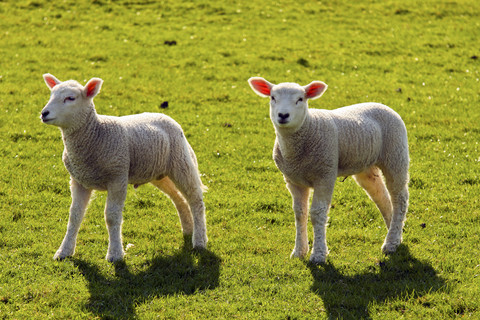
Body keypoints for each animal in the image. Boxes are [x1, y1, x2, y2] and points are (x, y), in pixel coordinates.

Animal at [40, 74, 206, 262]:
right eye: (51, 95)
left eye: (70, 98)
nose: (44, 113)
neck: (96, 133)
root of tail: (168, 118)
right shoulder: (79, 180)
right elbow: (74, 216)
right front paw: (64, 251)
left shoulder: (117, 176)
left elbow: (112, 217)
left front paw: (115, 254)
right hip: (160, 173)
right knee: (179, 199)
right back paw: (188, 230)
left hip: (181, 163)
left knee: (196, 200)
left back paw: (199, 241)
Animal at [248, 76, 408, 264]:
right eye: (273, 97)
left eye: (300, 99)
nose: (283, 115)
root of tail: (384, 105)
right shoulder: (293, 180)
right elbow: (300, 213)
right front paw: (299, 252)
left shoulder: (325, 175)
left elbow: (317, 213)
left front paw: (318, 254)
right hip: (367, 167)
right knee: (381, 197)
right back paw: (395, 235)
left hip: (396, 156)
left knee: (400, 199)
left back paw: (391, 243)